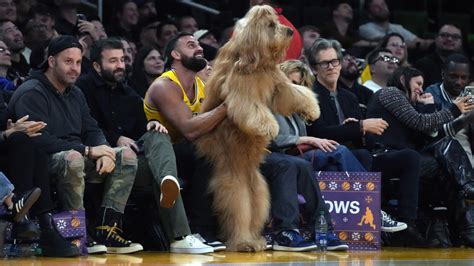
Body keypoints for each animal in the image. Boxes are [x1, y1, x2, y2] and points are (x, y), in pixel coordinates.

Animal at [194, 5, 320, 252]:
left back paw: (256, 239)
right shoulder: (241, 88)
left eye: (277, 22)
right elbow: (251, 106)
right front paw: (268, 126)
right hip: (234, 183)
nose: (290, 32)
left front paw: (311, 109)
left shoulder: (278, 83)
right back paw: (244, 241)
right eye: (271, 25)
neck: (257, 60)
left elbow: (294, 93)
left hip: (259, 186)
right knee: (238, 209)